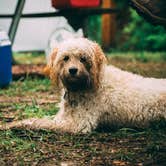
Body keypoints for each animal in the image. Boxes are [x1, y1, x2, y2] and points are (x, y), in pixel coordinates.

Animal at [0, 38, 165, 133]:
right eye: (66, 58)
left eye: (83, 58)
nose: (73, 70)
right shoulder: (62, 116)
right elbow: (36, 118)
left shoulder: (79, 124)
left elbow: (37, 122)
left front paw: (15, 125)